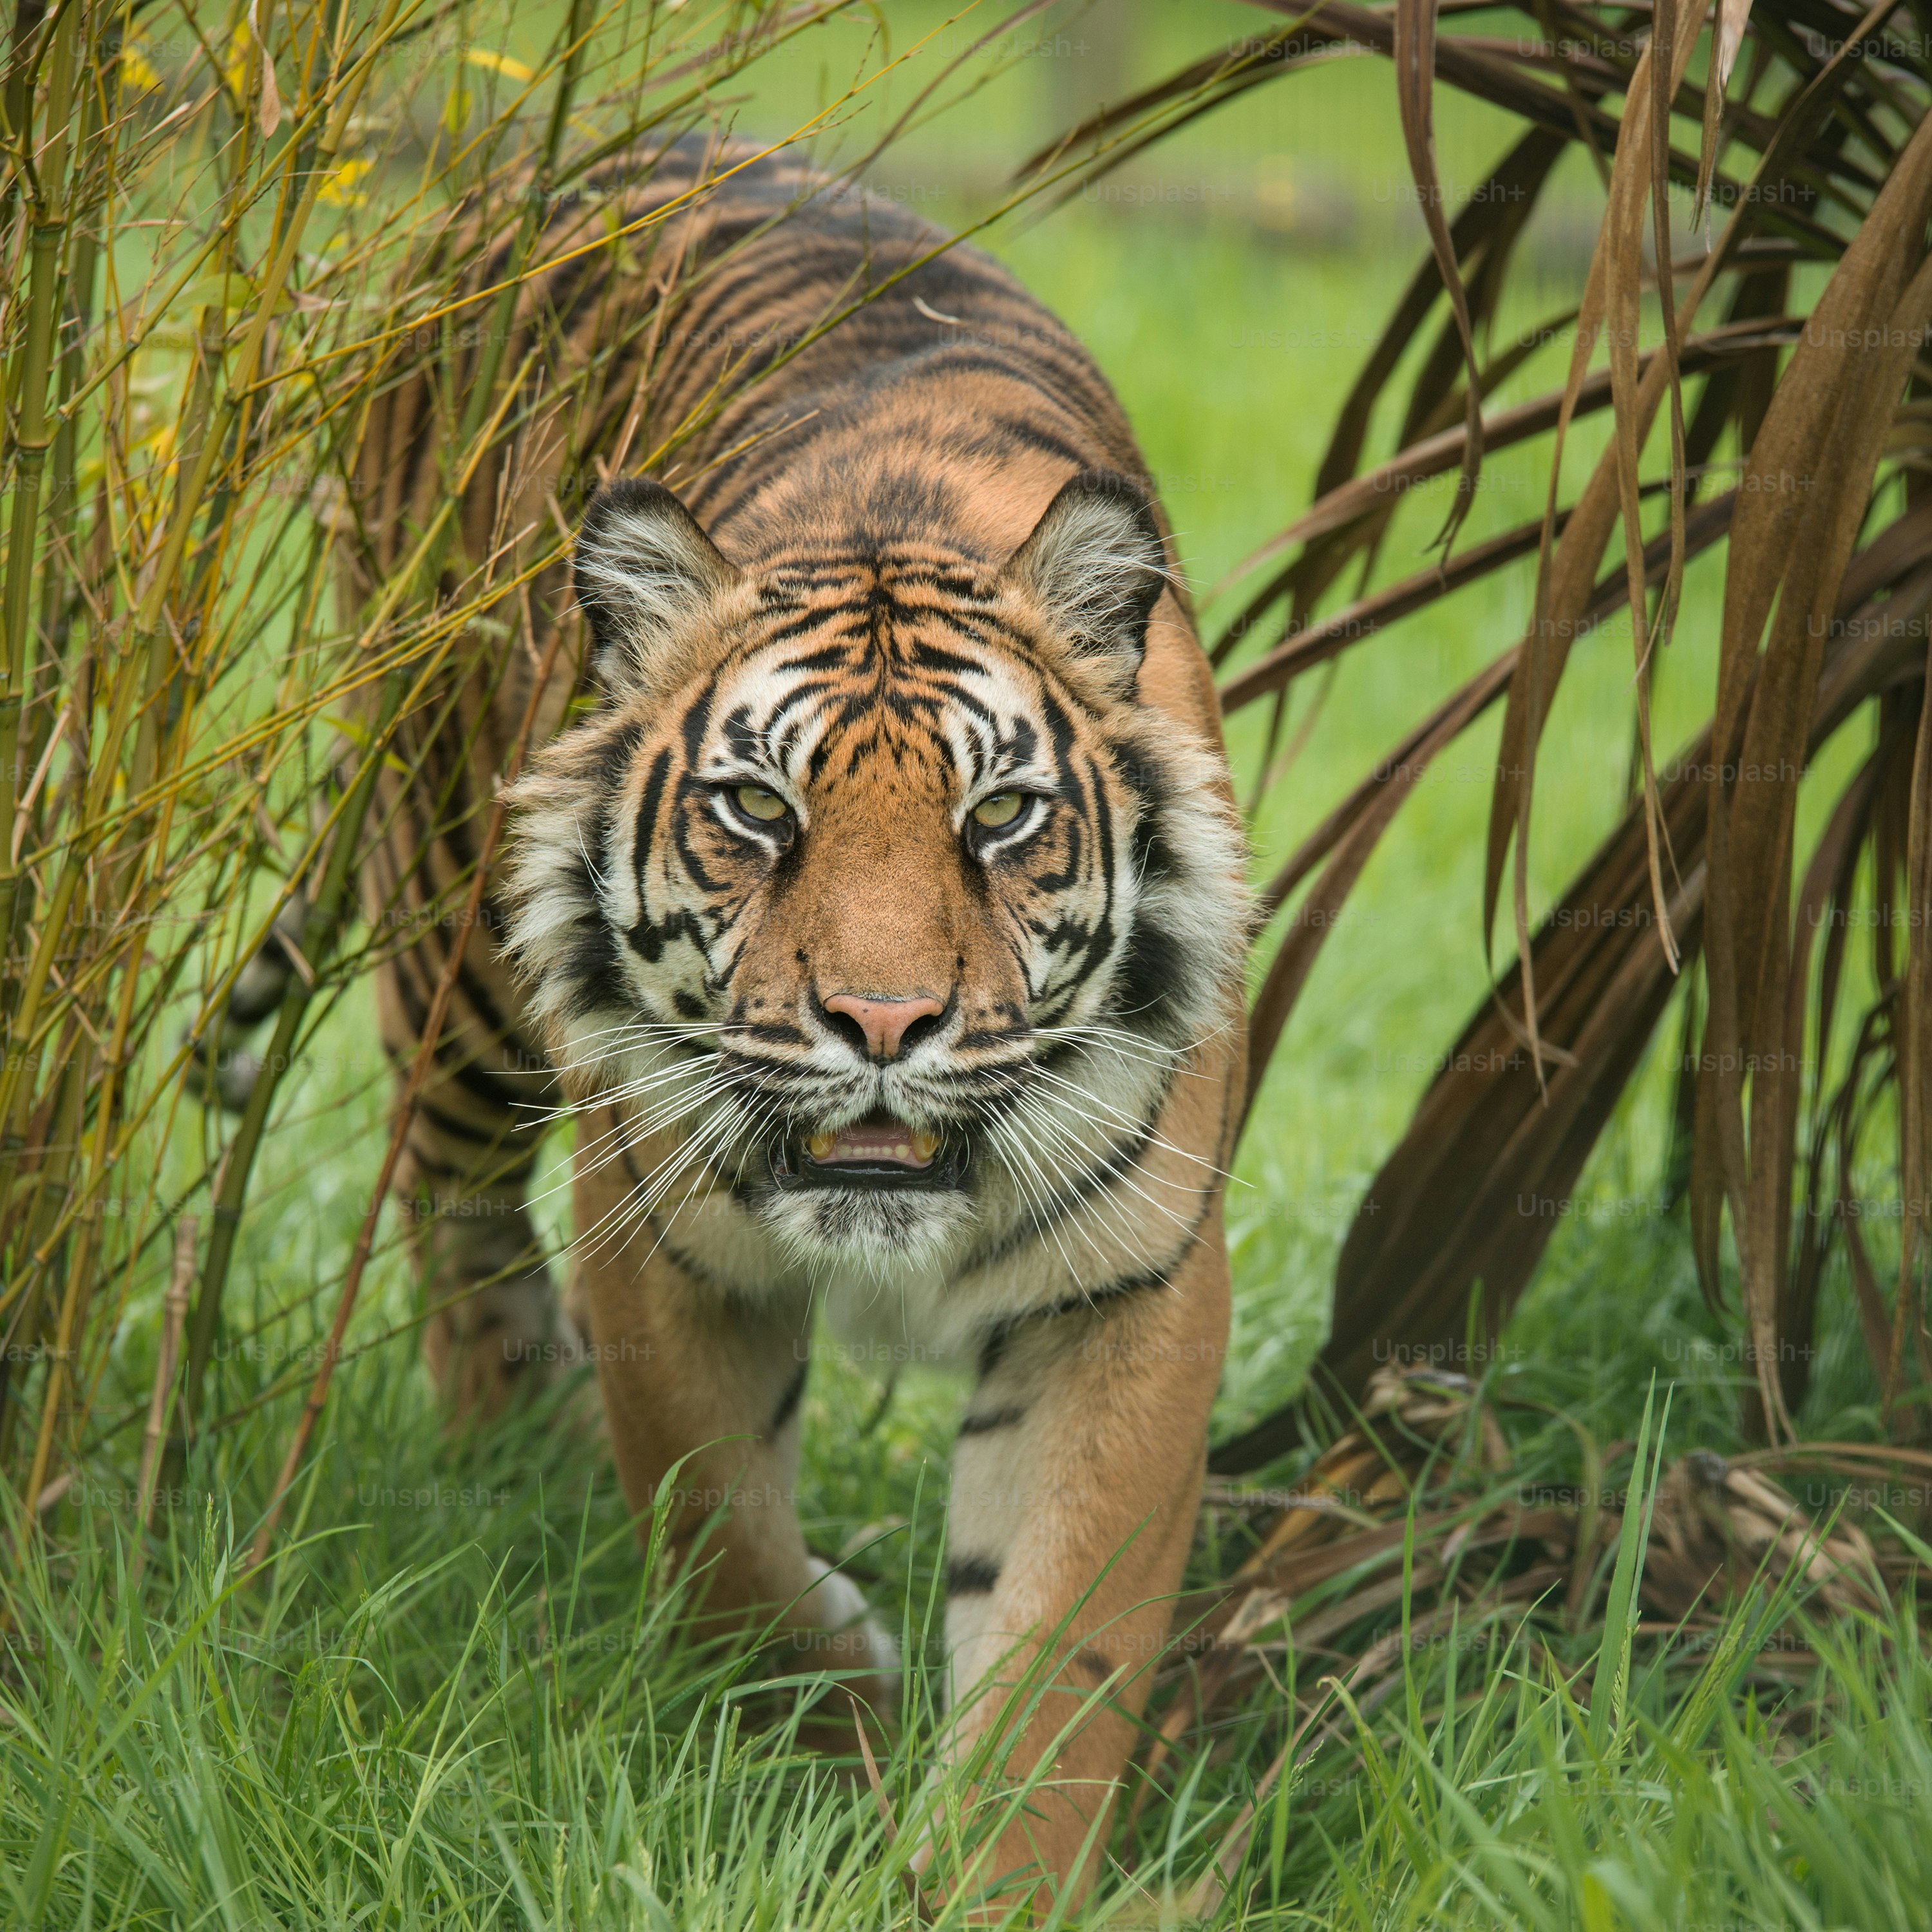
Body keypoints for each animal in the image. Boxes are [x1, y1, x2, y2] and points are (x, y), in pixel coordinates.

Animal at [318, 136, 1249, 1910]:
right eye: (758, 809)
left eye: (1001, 814)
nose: (882, 1019)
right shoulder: (660, 1234)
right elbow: (718, 1532)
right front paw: (840, 1717)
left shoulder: (1126, 1286)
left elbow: (1059, 1652)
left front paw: (987, 1882)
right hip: (450, 922)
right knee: (448, 1197)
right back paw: (514, 1438)